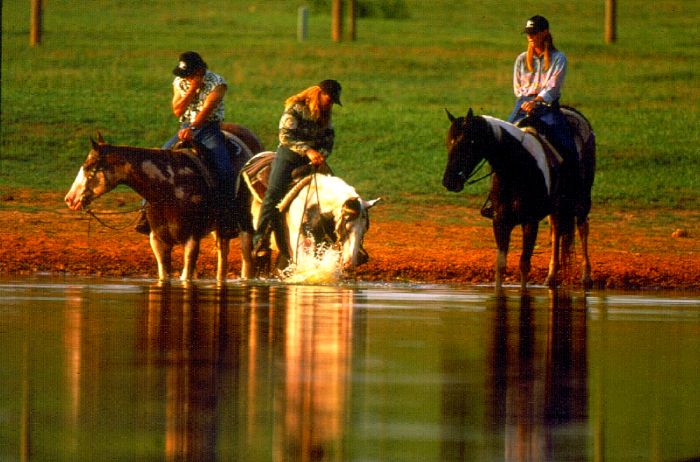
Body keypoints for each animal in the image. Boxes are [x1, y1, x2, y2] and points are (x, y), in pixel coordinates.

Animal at [64, 123, 266, 282]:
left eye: (89, 167)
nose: (70, 199)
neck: (170, 187)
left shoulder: (191, 239)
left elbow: (186, 276)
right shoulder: (158, 241)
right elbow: (164, 275)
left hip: (245, 225)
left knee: (247, 262)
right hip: (219, 230)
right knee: (222, 259)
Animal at [442, 108, 596, 288]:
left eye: (470, 143)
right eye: (449, 143)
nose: (449, 182)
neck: (517, 169)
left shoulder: (530, 221)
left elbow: (524, 264)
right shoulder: (500, 221)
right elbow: (501, 264)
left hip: (582, 200)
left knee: (583, 228)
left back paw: (586, 277)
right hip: (557, 207)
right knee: (556, 230)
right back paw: (551, 276)